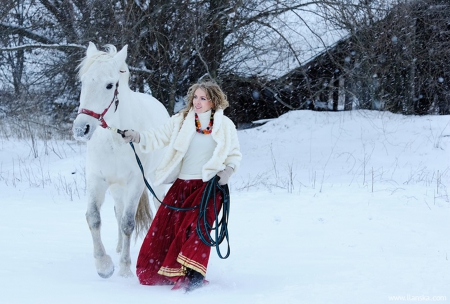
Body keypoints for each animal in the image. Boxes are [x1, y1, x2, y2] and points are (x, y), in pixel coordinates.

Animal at [73, 42, 170, 278]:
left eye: (110, 85)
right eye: (83, 82)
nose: (81, 129)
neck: (115, 138)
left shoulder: (136, 181)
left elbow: (128, 223)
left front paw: (125, 268)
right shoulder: (96, 179)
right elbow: (94, 218)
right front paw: (104, 265)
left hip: (154, 180)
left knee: (157, 206)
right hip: (117, 187)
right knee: (117, 210)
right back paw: (117, 248)